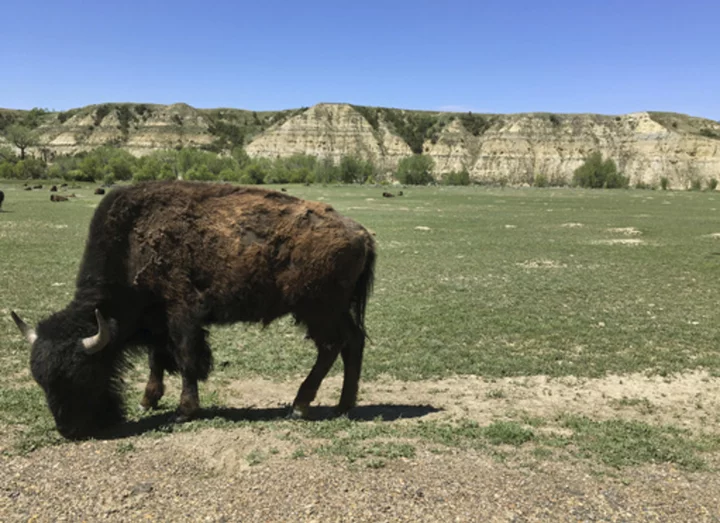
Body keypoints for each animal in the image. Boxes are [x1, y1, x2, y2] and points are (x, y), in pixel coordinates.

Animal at [11, 182, 376, 440]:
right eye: (40, 380)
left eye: (82, 373)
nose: (70, 430)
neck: (131, 242)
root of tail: (361, 233)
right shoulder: (158, 321)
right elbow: (158, 359)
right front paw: (148, 400)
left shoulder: (182, 314)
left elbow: (186, 359)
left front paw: (184, 411)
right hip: (333, 310)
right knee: (353, 343)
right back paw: (343, 405)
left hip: (317, 310)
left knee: (331, 347)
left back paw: (301, 406)